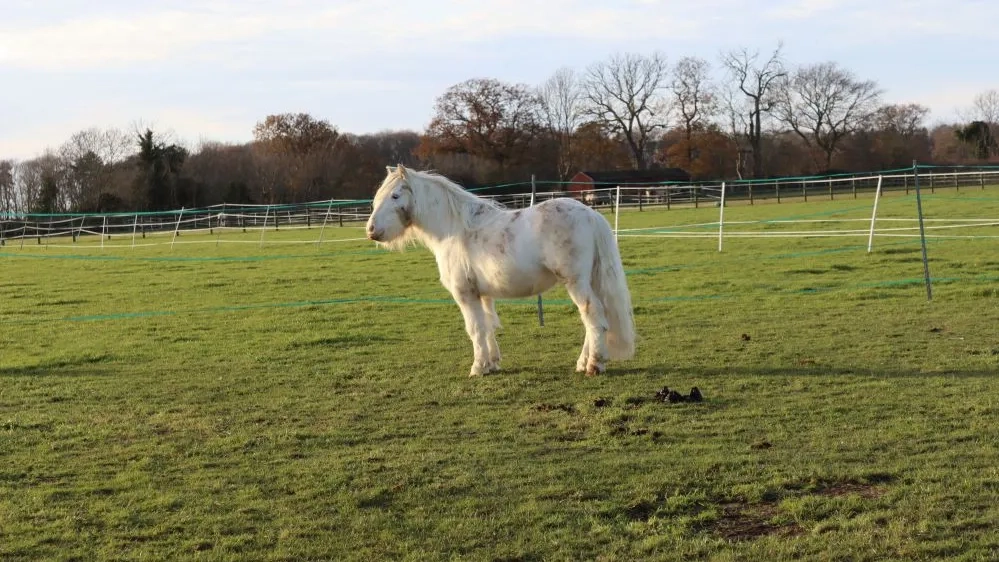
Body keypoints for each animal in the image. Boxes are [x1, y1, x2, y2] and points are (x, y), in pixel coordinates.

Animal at [365, 165, 636, 377]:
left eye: (395, 196)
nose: (371, 230)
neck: (454, 230)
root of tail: (590, 214)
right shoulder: (482, 295)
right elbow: (487, 327)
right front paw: (492, 363)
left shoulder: (465, 295)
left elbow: (475, 330)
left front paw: (478, 368)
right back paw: (582, 362)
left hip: (576, 282)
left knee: (593, 316)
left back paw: (594, 365)